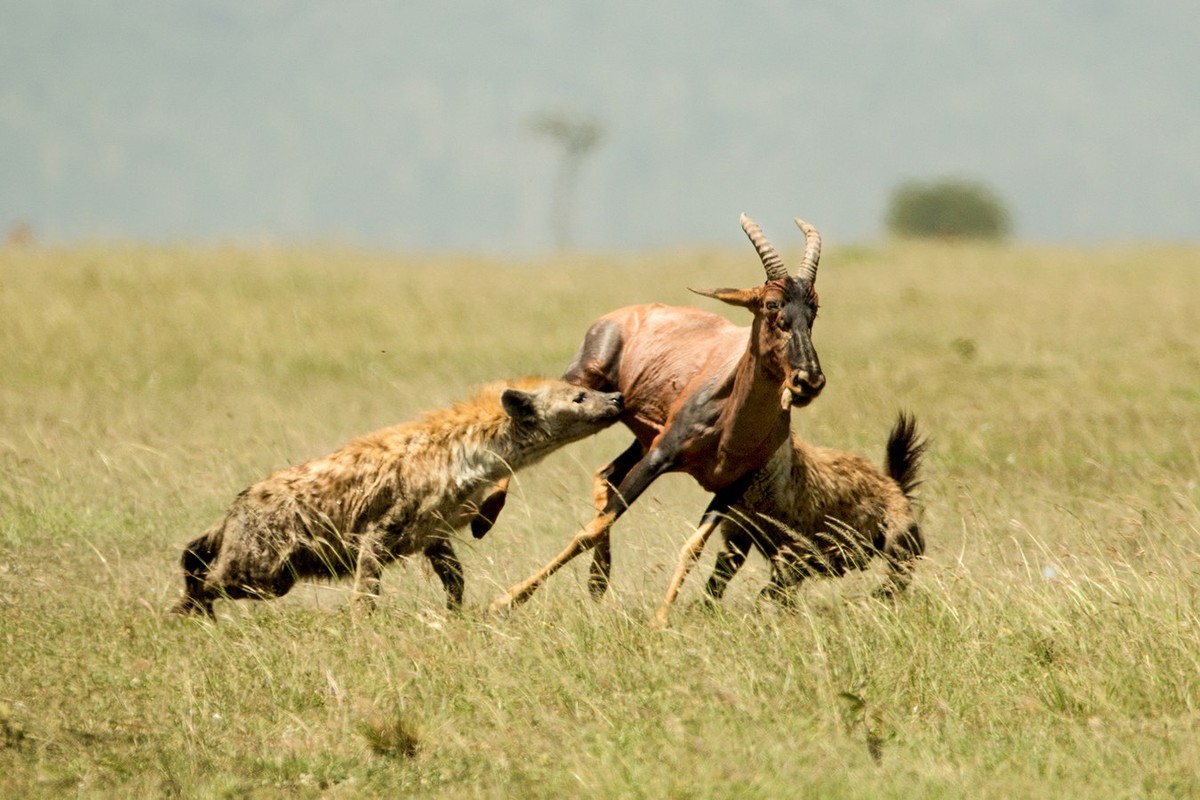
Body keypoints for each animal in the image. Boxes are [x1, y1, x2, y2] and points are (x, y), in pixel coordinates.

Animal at [174, 376, 624, 618]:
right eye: (579, 397)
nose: (618, 397)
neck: (465, 459)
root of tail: (232, 512)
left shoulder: (433, 529)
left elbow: (455, 577)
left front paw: (455, 614)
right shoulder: (379, 529)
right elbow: (367, 587)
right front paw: (363, 626)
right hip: (263, 568)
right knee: (208, 575)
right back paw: (188, 611)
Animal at [489, 215, 825, 623]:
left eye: (814, 309)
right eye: (771, 305)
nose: (809, 380)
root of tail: (622, 314)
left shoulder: (731, 487)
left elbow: (692, 548)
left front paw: (660, 618)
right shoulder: (659, 458)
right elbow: (589, 531)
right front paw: (505, 600)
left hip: (638, 433)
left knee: (605, 474)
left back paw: (598, 581)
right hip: (586, 390)